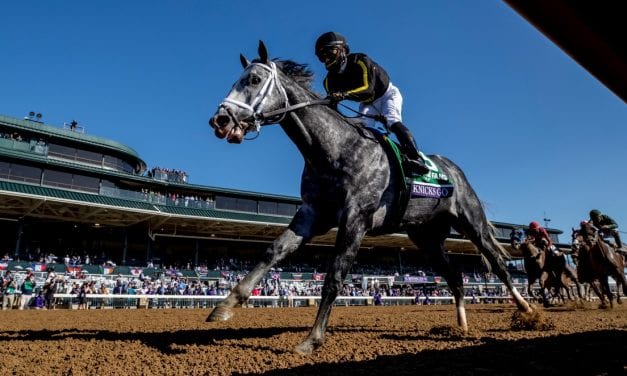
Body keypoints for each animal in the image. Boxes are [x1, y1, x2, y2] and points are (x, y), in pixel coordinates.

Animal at [209, 41, 532, 356]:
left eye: (254, 79)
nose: (219, 119)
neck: (335, 149)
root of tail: (454, 169)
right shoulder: (312, 215)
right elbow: (272, 251)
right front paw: (224, 306)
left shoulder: (356, 219)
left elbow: (334, 277)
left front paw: (312, 339)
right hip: (426, 238)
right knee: (455, 276)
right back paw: (461, 327)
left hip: (471, 222)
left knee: (498, 264)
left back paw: (528, 310)